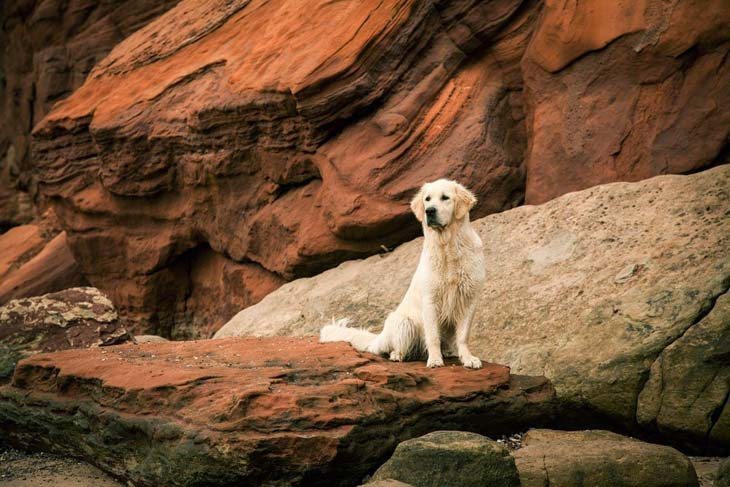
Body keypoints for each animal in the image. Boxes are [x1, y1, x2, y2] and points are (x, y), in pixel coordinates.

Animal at [320, 181, 484, 368]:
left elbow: (463, 336)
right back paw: (397, 355)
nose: (429, 211)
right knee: (395, 347)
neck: (448, 247)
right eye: (427, 199)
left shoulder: (470, 298)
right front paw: (435, 360)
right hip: (404, 322)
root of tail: (380, 337)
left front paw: (468, 358)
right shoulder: (431, 299)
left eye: (445, 197)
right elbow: (433, 336)